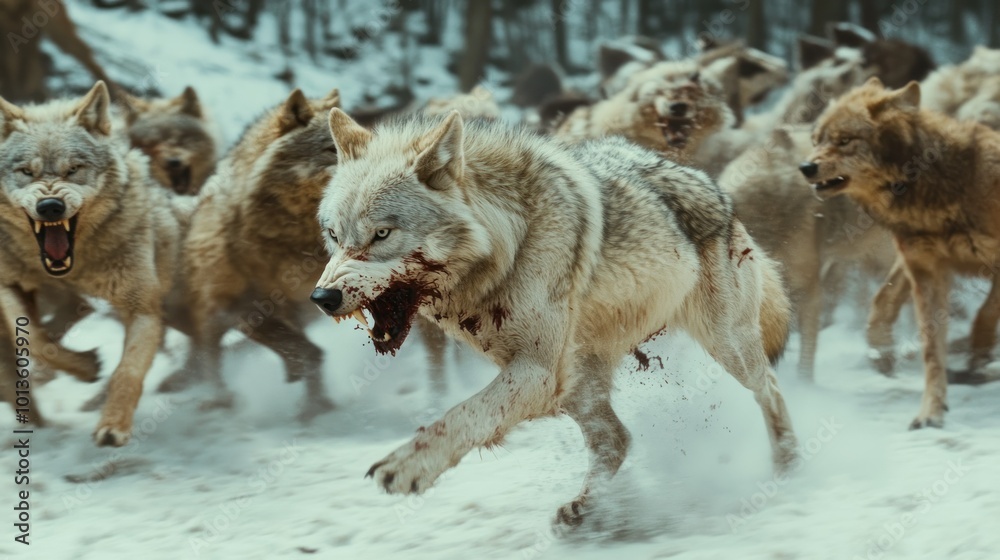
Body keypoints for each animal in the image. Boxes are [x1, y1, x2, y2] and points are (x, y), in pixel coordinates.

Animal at [0, 81, 184, 444]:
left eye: (73, 169)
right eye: (26, 172)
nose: (50, 206)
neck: (74, 266)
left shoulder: (142, 306)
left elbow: (127, 371)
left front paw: (113, 425)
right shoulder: (8, 283)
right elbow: (34, 340)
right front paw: (85, 367)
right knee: (69, 314)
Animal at [311, 110, 799, 525]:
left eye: (381, 234)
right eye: (334, 235)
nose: (322, 297)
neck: (510, 243)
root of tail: (717, 189)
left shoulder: (538, 371)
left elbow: (463, 414)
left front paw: (408, 467)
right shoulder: (536, 372)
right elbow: (475, 415)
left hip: (727, 348)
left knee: (772, 388)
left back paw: (789, 463)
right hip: (581, 381)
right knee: (616, 440)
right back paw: (585, 509)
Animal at [801, 77, 1000, 429]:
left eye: (844, 140)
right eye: (816, 140)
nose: (806, 167)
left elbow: (987, 311)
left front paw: (980, 350)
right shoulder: (924, 269)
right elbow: (931, 351)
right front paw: (931, 411)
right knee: (883, 300)